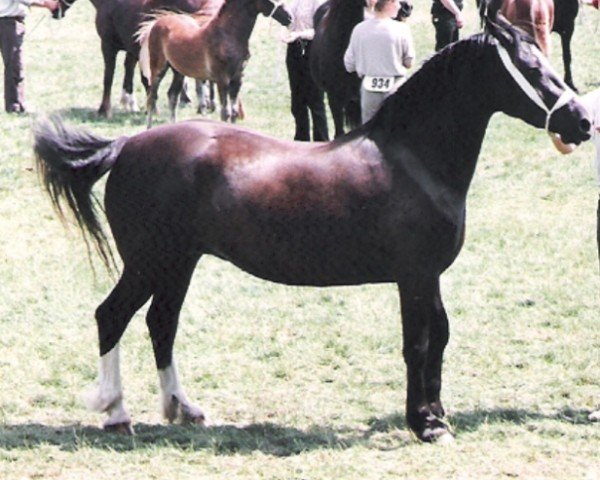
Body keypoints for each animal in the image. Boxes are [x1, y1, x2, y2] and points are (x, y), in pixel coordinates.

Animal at [34, 15, 592, 442]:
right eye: (531, 67)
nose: (582, 121)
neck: (412, 159)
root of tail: (126, 145)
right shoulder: (414, 277)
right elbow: (418, 343)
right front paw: (426, 424)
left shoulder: (429, 276)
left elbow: (440, 337)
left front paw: (435, 416)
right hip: (148, 263)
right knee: (112, 317)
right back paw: (116, 413)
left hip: (178, 263)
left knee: (160, 323)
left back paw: (183, 409)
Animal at [54, 0, 220, 116]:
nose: (55, 11)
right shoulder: (134, 50)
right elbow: (133, 75)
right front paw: (132, 104)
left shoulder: (108, 46)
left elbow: (109, 77)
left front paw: (104, 110)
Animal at [139, 0, 292, 127]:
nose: (289, 17)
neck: (227, 35)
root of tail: (157, 23)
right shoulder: (222, 79)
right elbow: (225, 113)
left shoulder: (237, 79)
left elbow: (234, 112)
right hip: (158, 69)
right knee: (152, 98)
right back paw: (149, 128)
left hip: (178, 71)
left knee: (172, 96)